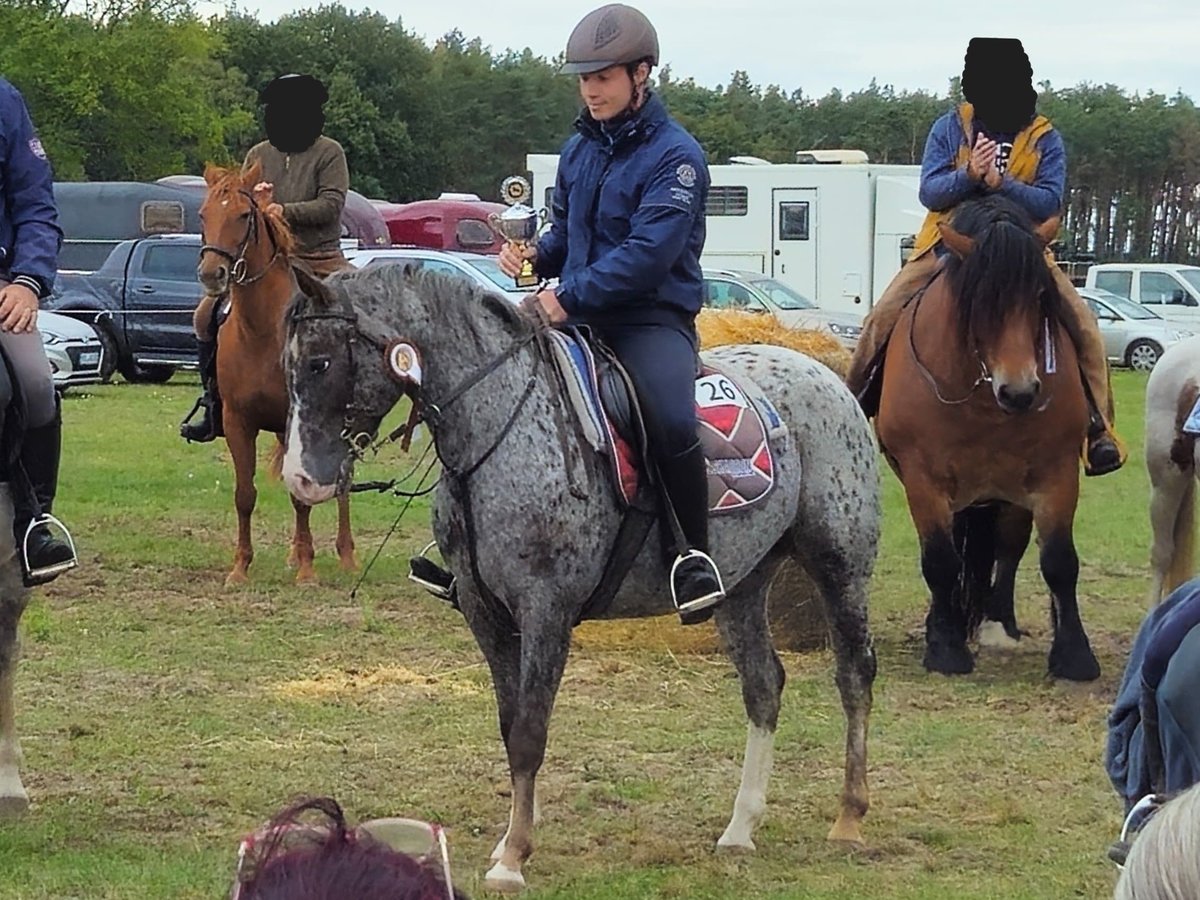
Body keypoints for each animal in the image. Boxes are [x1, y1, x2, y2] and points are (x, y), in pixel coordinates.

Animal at [195, 164, 355, 585]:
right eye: (203, 215)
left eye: (243, 215)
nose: (212, 274)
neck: (262, 331)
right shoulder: (237, 422)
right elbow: (244, 494)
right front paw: (240, 567)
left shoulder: (293, 423)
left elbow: (301, 497)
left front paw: (307, 571)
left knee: (343, 483)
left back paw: (346, 556)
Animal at [278, 264, 883, 892]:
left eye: (320, 363)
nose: (301, 479)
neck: (499, 426)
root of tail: (824, 373)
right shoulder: (484, 612)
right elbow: (510, 723)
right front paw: (510, 837)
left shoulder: (545, 608)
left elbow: (529, 732)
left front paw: (513, 858)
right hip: (742, 585)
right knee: (763, 686)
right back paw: (740, 829)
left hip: (840, 565)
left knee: (854, 676)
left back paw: (848, 817)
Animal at [878, 194, 1099, 681]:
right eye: (980, 302)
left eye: (1041, 297)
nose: (1019, 392)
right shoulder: (924, 480)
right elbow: (940, 561)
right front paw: (945, 647)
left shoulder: (1056, 474)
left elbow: (1060, 562)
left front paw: (1075, 655)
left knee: (1009, 548)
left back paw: (999, 622)